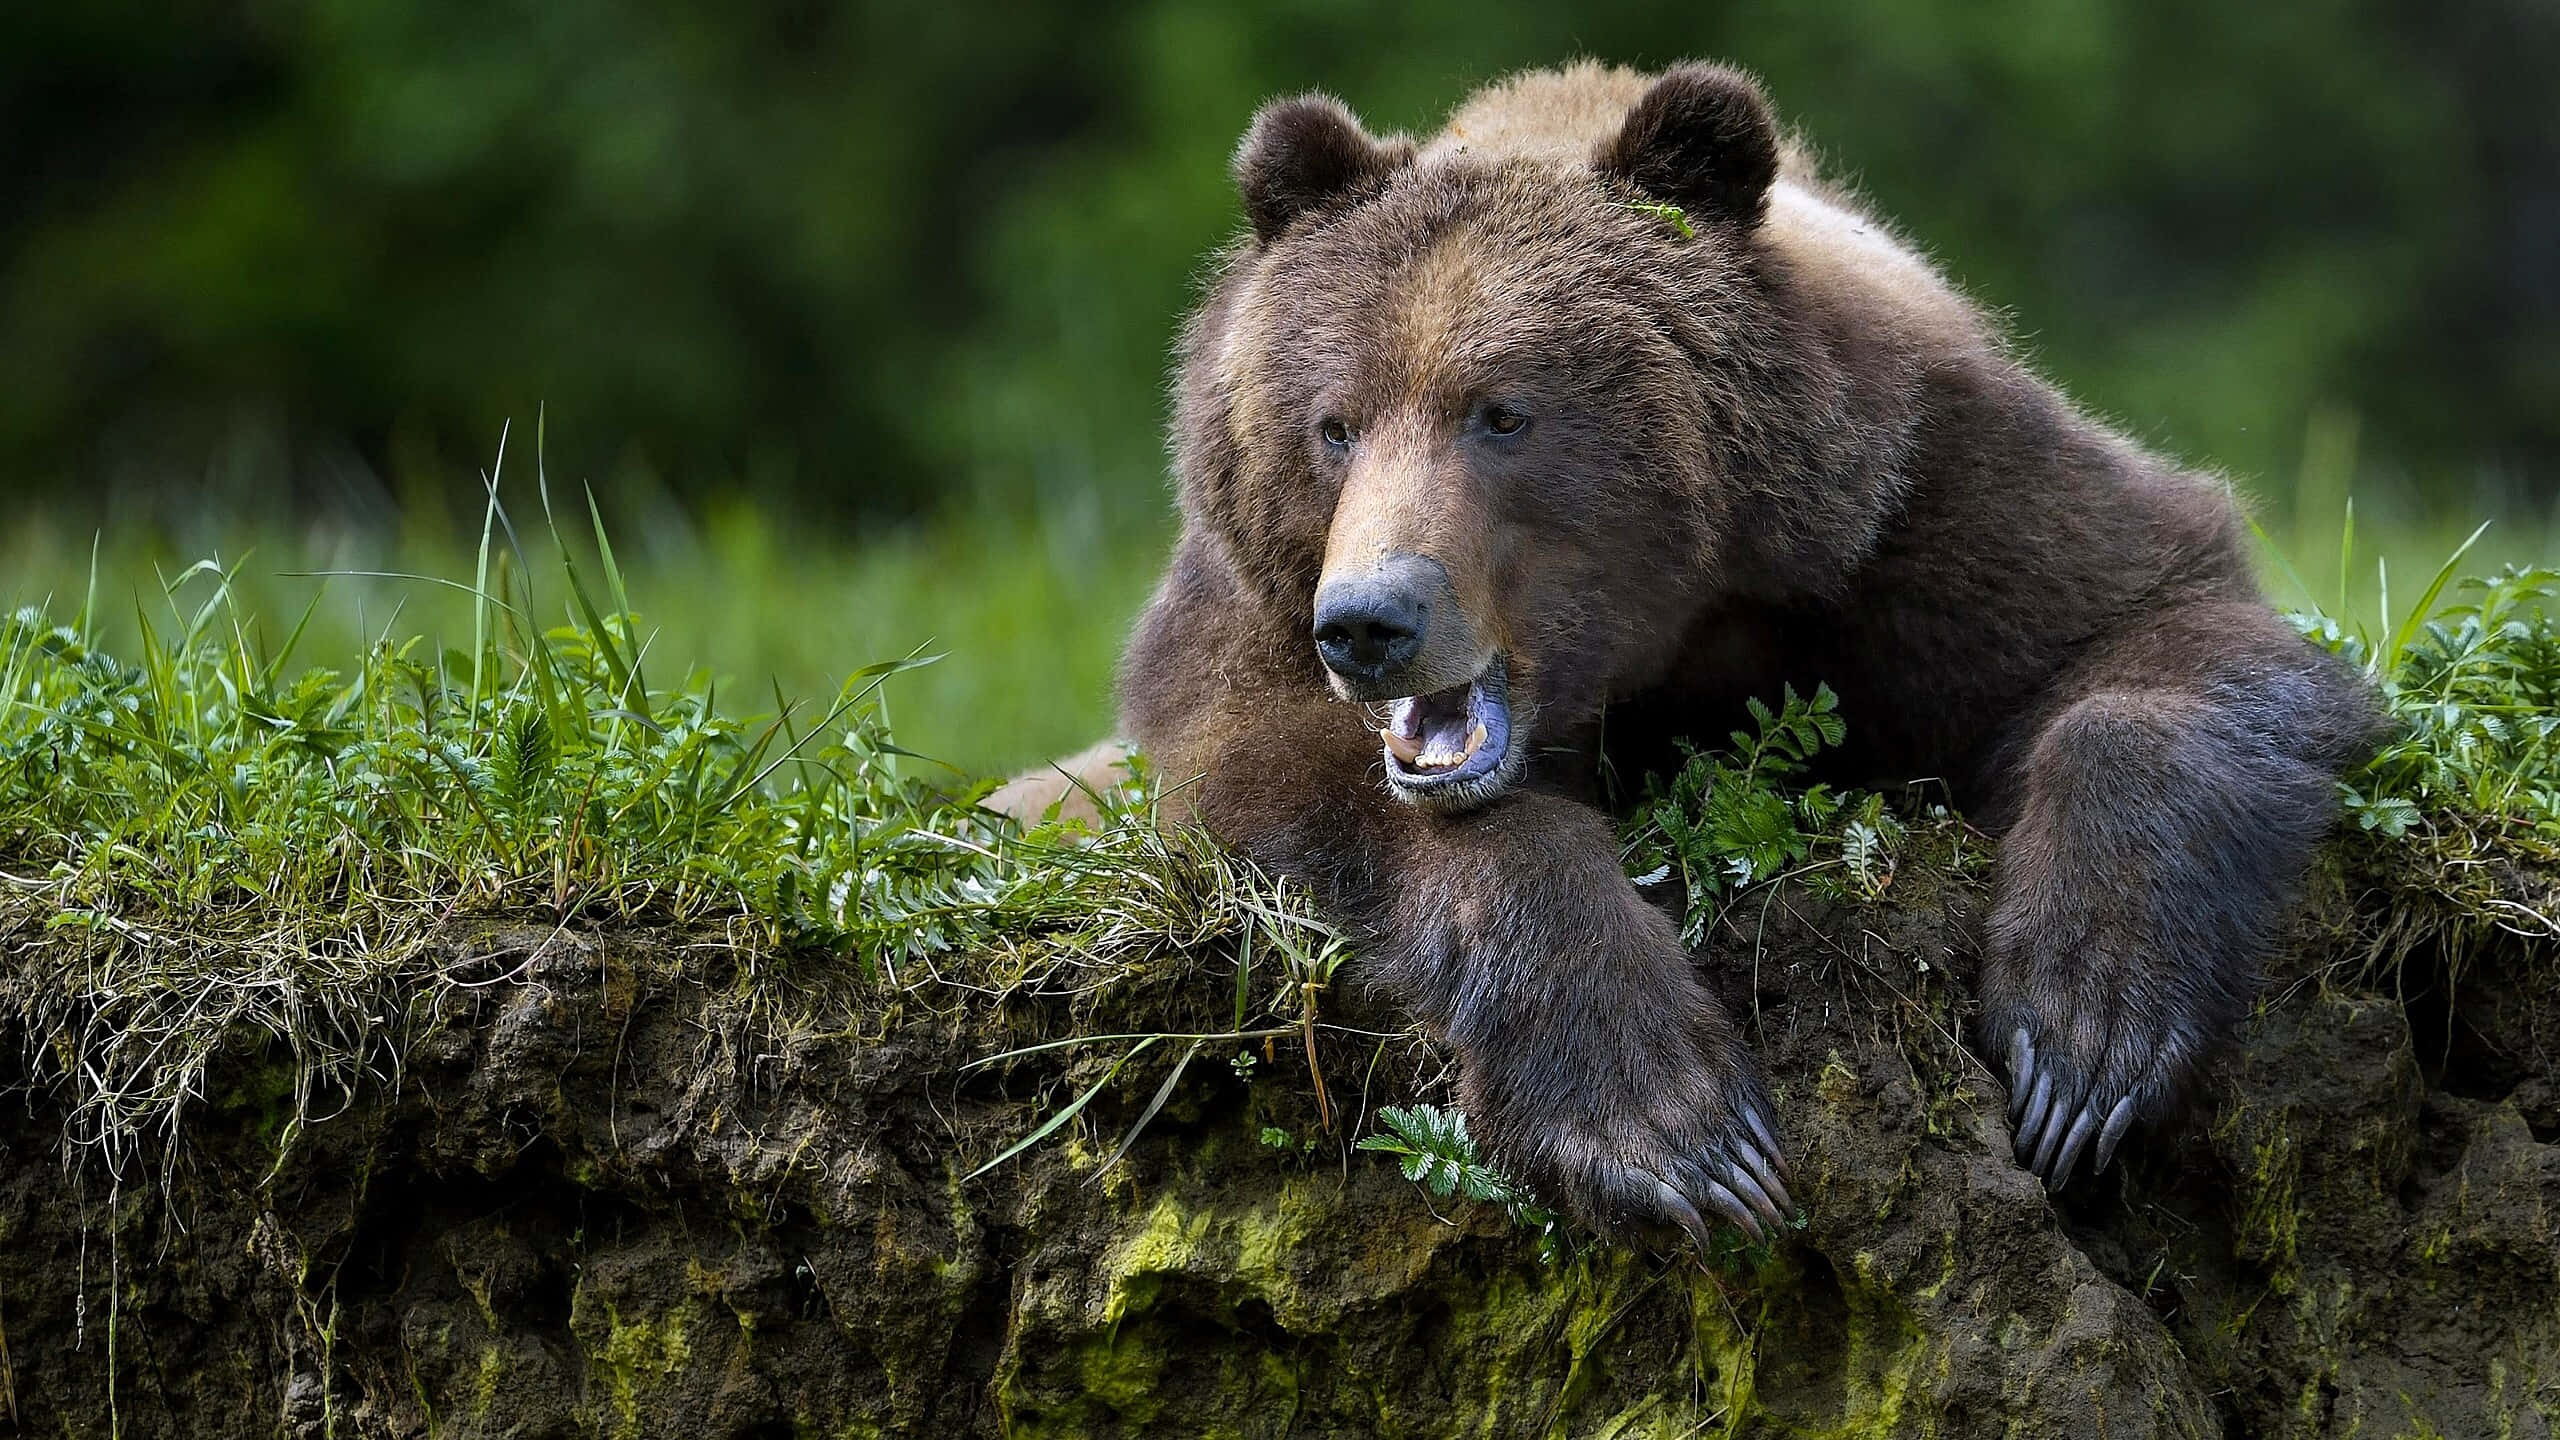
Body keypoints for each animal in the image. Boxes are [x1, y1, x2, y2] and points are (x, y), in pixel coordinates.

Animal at [1004, 60, 2379, 1242]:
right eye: (1332, 424)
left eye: (1502, 412)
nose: (1367, 625)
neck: (1679, 627)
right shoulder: (1243, 615)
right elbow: (1292, 776)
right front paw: (1674, 1128)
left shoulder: (1930, 506)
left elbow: (2154, 629)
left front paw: (2084, 1037)